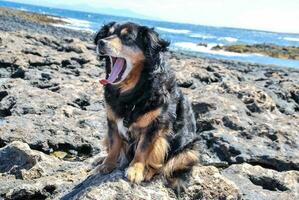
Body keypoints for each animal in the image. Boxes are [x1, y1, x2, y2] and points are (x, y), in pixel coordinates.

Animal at [94, 21, 200, 192]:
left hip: (189, 150)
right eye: (107, 34)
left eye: (127, 38)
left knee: (164, 166)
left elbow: (143, 149)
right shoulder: (112, 121)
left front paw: (136, 170)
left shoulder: (155, 125)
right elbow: (114, 143)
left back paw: (149, 171)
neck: (132, 92)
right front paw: (107, 164)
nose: (101, 43)